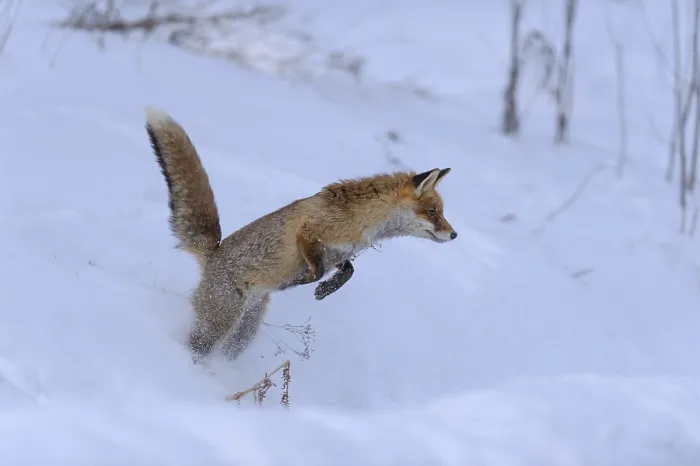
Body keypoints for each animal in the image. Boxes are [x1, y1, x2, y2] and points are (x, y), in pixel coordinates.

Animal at [144, 107, 458, 363]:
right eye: (433, 212)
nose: (454, 235)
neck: (363, 220)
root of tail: (212, 256)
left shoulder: (340, 252)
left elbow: (348, 272)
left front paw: (325, 290)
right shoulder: (308, 231)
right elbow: (315, 269)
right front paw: (305, 282)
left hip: (244, 332)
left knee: (227, 352)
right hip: (220, 321)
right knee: (197, 347)